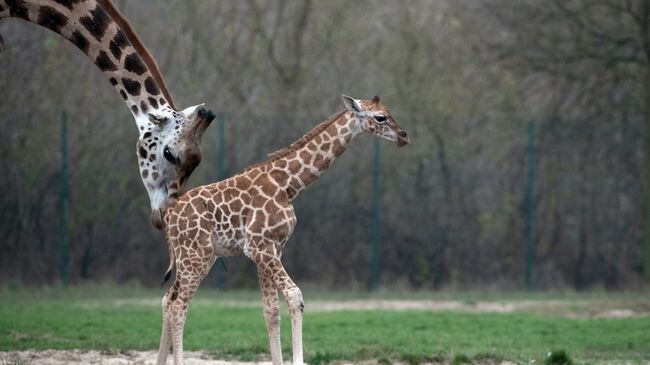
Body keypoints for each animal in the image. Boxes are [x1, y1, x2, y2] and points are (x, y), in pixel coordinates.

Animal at [156, 95, 408, 364]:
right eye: (380, 117)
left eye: (388, 112)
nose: (403, 136)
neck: (288, 184)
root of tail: (169, 214)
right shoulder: (259, 246)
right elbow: (295, 297)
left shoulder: (272, 248)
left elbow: (271, 309)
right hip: (196, 255)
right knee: (179, 307)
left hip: (197, 256)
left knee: (168, 299)